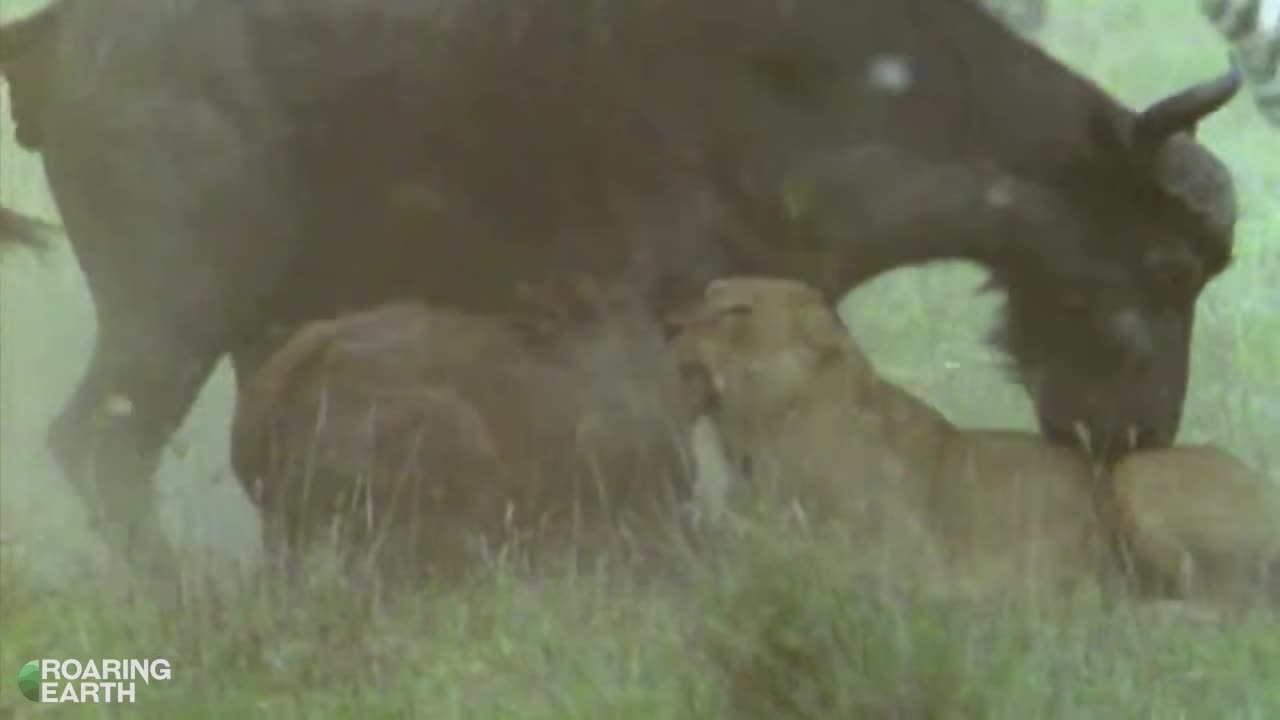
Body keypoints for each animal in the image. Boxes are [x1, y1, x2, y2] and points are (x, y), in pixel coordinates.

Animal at [0, 0, 1239, 576]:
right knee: (99, 444)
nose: (1136, 433)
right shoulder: (642, 311)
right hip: (170, 320)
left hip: (260, 329)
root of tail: (58, 42)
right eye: (1168, 265)